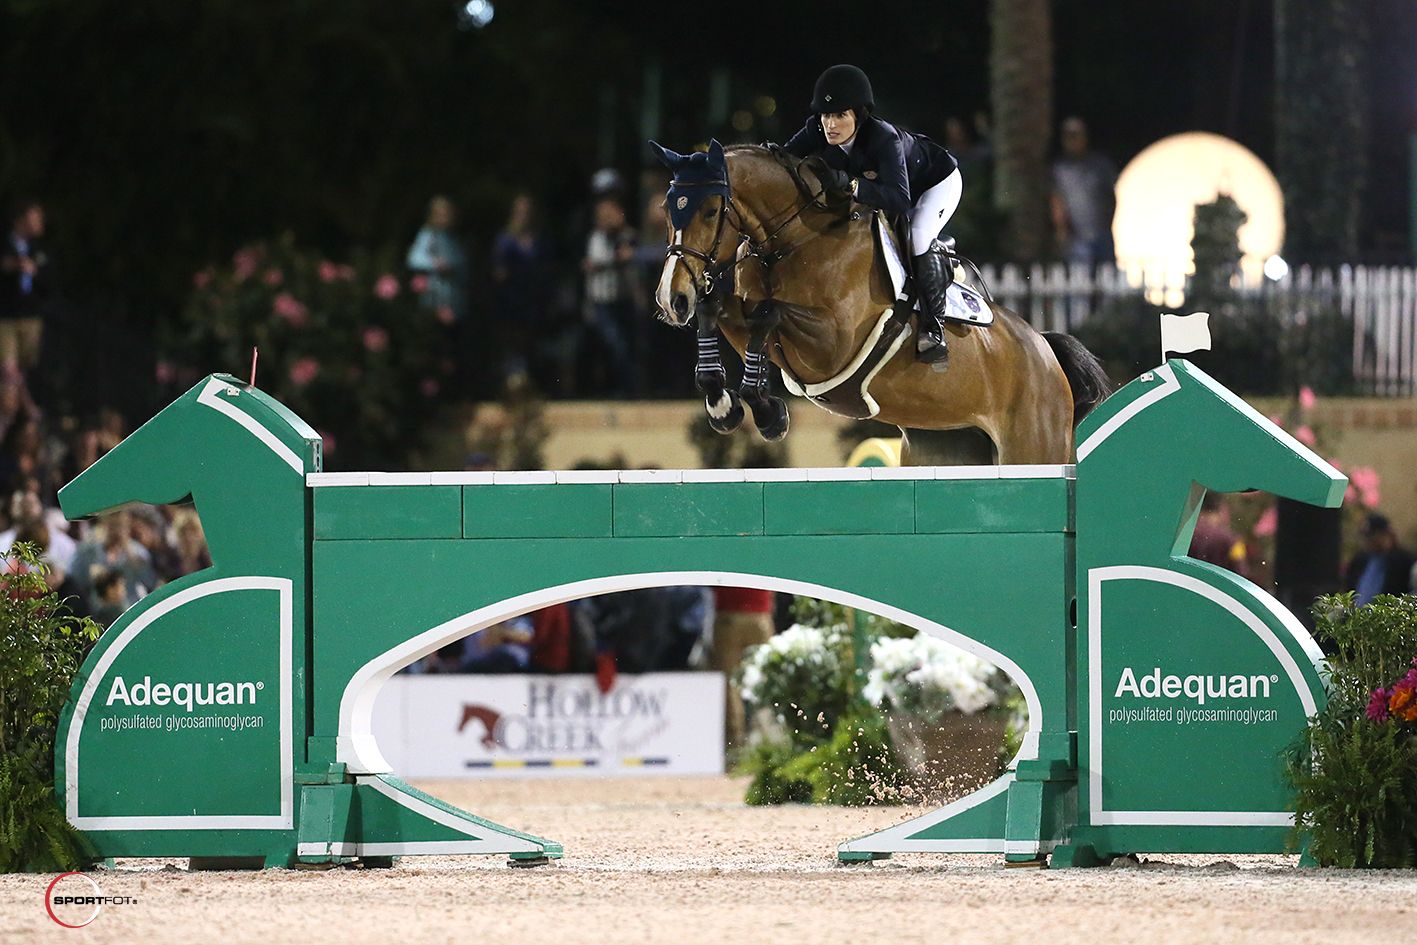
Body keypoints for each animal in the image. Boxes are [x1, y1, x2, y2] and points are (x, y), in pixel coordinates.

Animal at [648, 139, 1105, 464]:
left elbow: (767, 313)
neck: (795, 237)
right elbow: (717, 309)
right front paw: (721, 404)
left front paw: (766, 411)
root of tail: (1045, 350)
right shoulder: (745, 316)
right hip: (942, 447)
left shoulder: (832, 343)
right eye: (668, 210)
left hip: (1032, 447)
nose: (672, 300)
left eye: (710, 212)